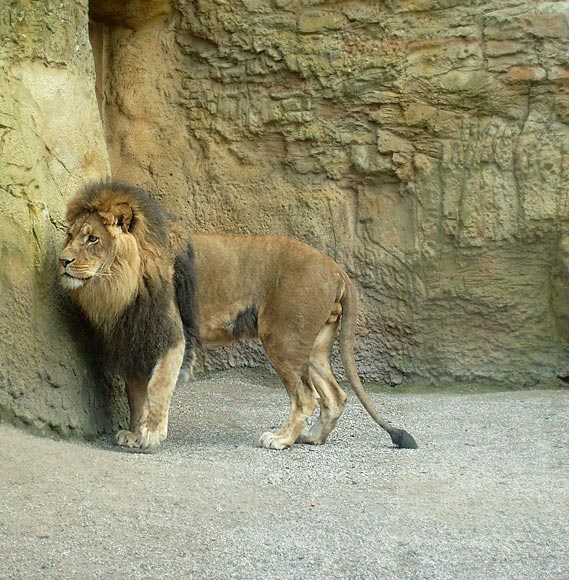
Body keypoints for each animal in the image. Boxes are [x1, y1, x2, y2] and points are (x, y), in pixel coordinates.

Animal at [58, 181, 418, 448]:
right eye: (70, 235)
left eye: (93, 239)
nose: (62, 260)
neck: (118, 283)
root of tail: (335, 267)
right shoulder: (133, 340)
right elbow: (136, 395)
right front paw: (134, 433)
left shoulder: (172, 336)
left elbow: (158, 387)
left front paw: (150, 435)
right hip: (314, 345)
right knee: (335, 394)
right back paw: (312, 438)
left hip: (283, 338)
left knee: (307, 397)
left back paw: (282, 439)